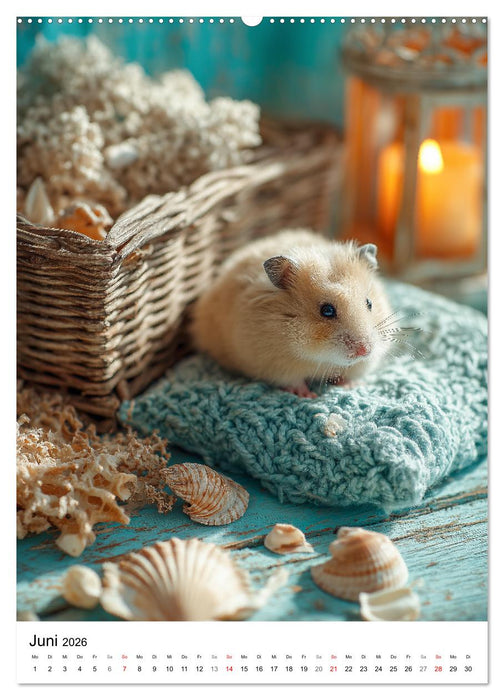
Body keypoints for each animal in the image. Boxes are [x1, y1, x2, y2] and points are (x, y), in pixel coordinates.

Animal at [190, 229, 392, 397]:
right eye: (326, 311)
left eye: (369, 303)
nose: (365, 351)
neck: (320, 357)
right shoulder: (276, 365)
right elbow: (293, 381)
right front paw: (307, 395)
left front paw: (351, 385)